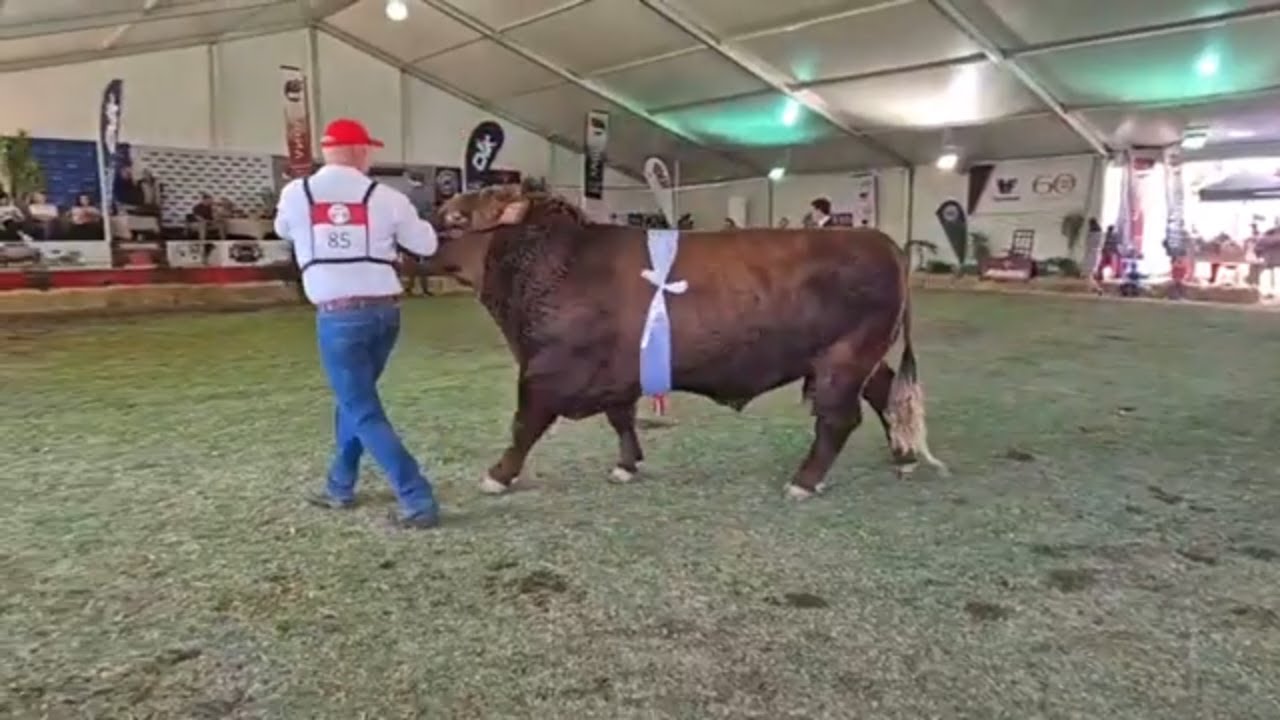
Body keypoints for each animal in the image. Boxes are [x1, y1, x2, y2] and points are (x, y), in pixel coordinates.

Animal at [427, 185, 946, 500]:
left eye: (454, 217)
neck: (557, 265)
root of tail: (882, 241)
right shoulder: (617, 373)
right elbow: (621, 418)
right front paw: (626, 465)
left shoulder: (544, 371)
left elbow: (525, 426)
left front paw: (496, 476)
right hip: (861, 358)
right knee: (886, 394)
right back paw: (903, 457)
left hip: (843, 359)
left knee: (839, 419)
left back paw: (803, 482)